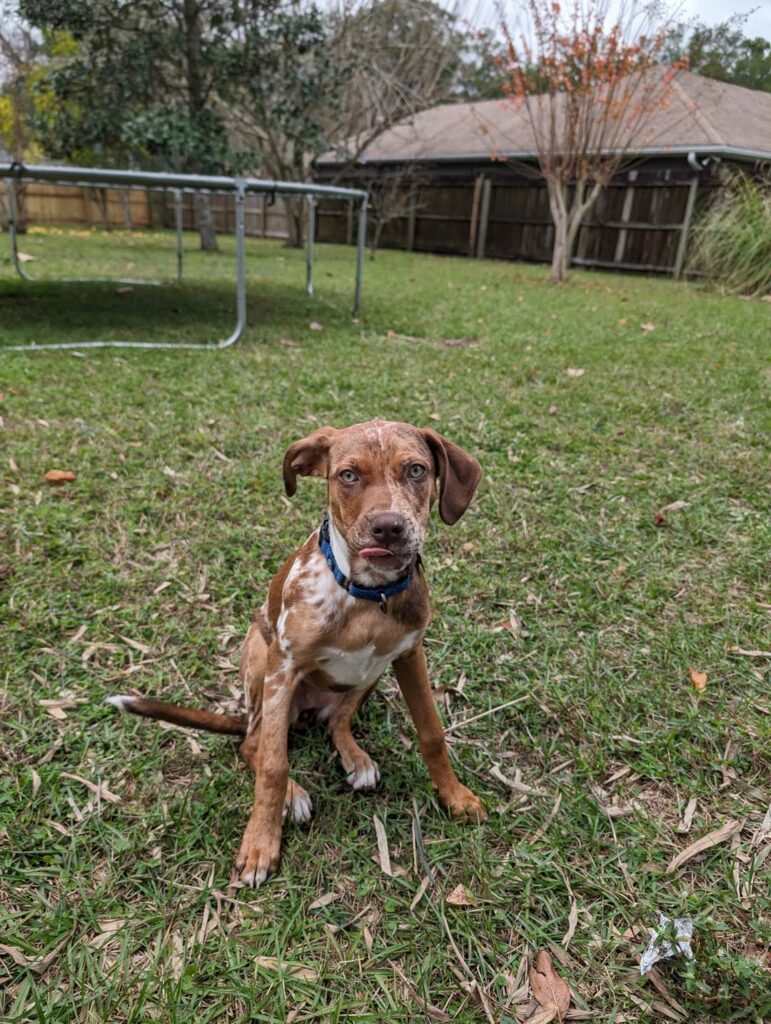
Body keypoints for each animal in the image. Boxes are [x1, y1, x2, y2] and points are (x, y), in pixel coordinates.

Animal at [105, 419, 483, 884]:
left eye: (416, 470)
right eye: (348, 475)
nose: (388, 528)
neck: (367, 595)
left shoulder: (410, 656)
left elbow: (431, 733)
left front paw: (455, 796)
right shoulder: (283, 666)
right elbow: (273, 764)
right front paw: (260, 844)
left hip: (370, 674)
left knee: (337, 720)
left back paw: (356, 759)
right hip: (258, 659)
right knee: (253, 742)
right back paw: (292, 794)